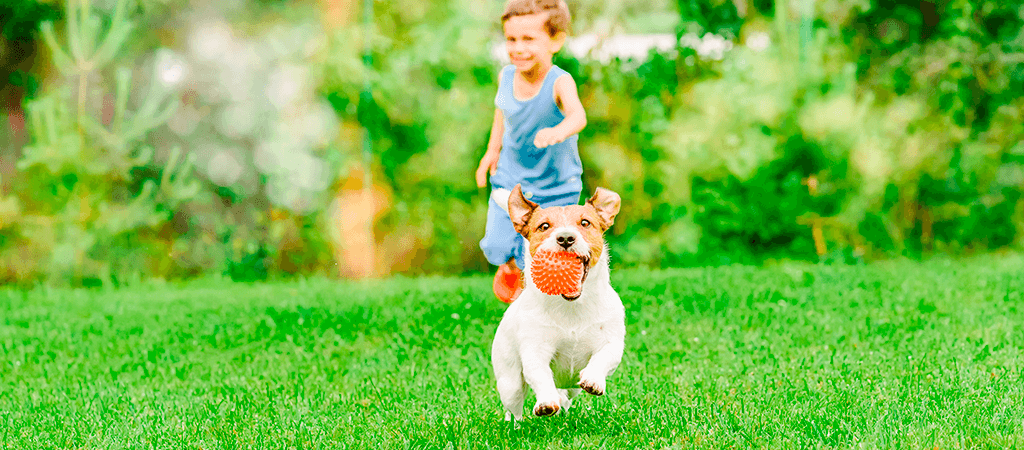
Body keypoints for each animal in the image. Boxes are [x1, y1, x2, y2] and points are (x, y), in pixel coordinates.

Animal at [489, 184, 622, 422]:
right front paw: (546, 403)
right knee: (514, 407)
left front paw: (593, 380)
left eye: (585, 223)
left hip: (570, 388)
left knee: (567, 395)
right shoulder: (535, 350)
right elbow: (540, 375)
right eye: (544, 226)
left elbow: (604, 357)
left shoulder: (612, 341)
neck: (571, 307)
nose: (566, 237)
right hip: (509, 381)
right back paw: (514, 425)